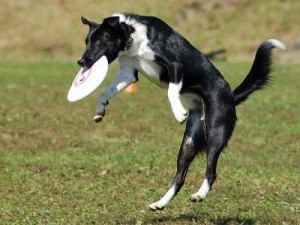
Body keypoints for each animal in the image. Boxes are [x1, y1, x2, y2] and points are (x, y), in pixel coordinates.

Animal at [76, 13, 284, 211]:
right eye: (86, 41)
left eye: (98, 41)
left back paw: (199, 194)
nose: (81, 61)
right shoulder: (128, 73)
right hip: (189, 142)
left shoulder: (176, 65)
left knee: (212, 172)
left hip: (216, 133)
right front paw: (100, 110)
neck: (132, 36)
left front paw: (178, 113)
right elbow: (105, 91)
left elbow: (171, 90)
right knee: (179, 178)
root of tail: (231, 96)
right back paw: (159, 204)